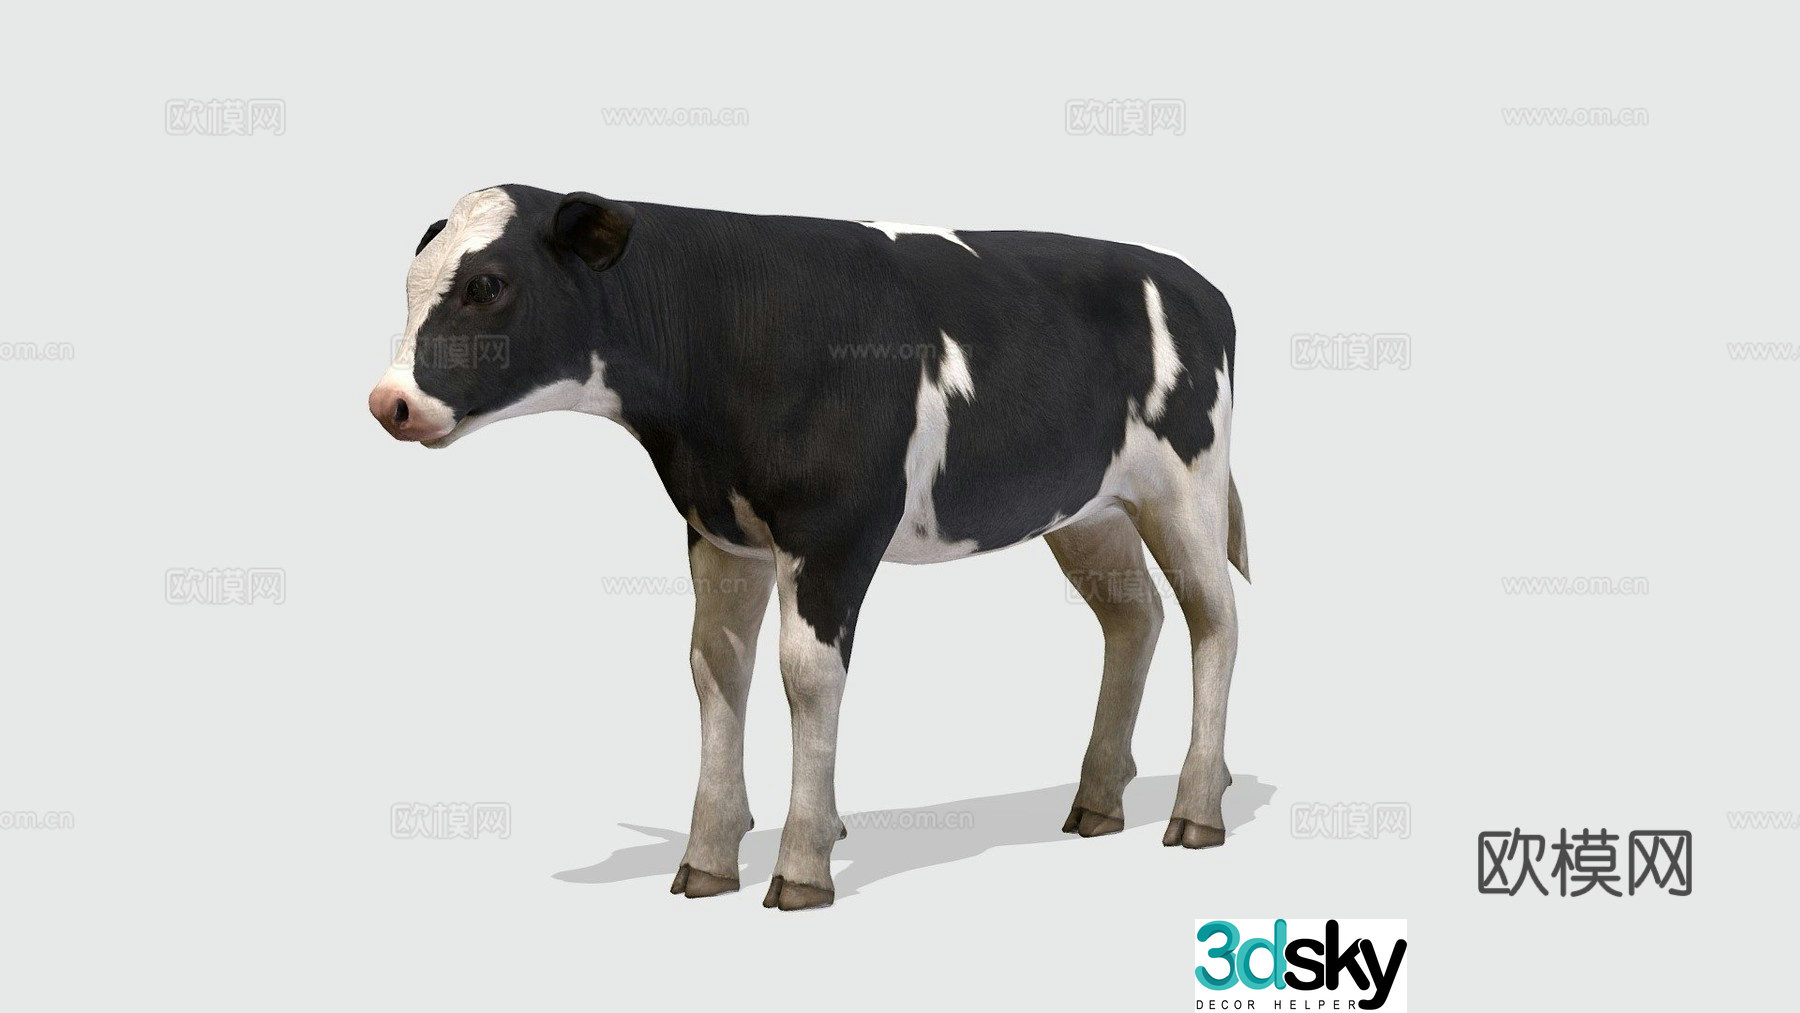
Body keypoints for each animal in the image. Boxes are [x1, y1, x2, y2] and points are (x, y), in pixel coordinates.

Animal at [368, 185, 1250, 910]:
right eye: (410, 284)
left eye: (488, 285)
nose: (389, 401)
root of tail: (1191, 279)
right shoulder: (719, 531)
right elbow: (714, 668)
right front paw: (708, 858)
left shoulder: (834, 533)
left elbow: (806, 675)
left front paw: (801, 865)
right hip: (1087, 506)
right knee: (1134, 617)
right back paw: (1099, 800)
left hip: (1186, 485)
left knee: (1215, 619)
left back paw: (1197, 807)